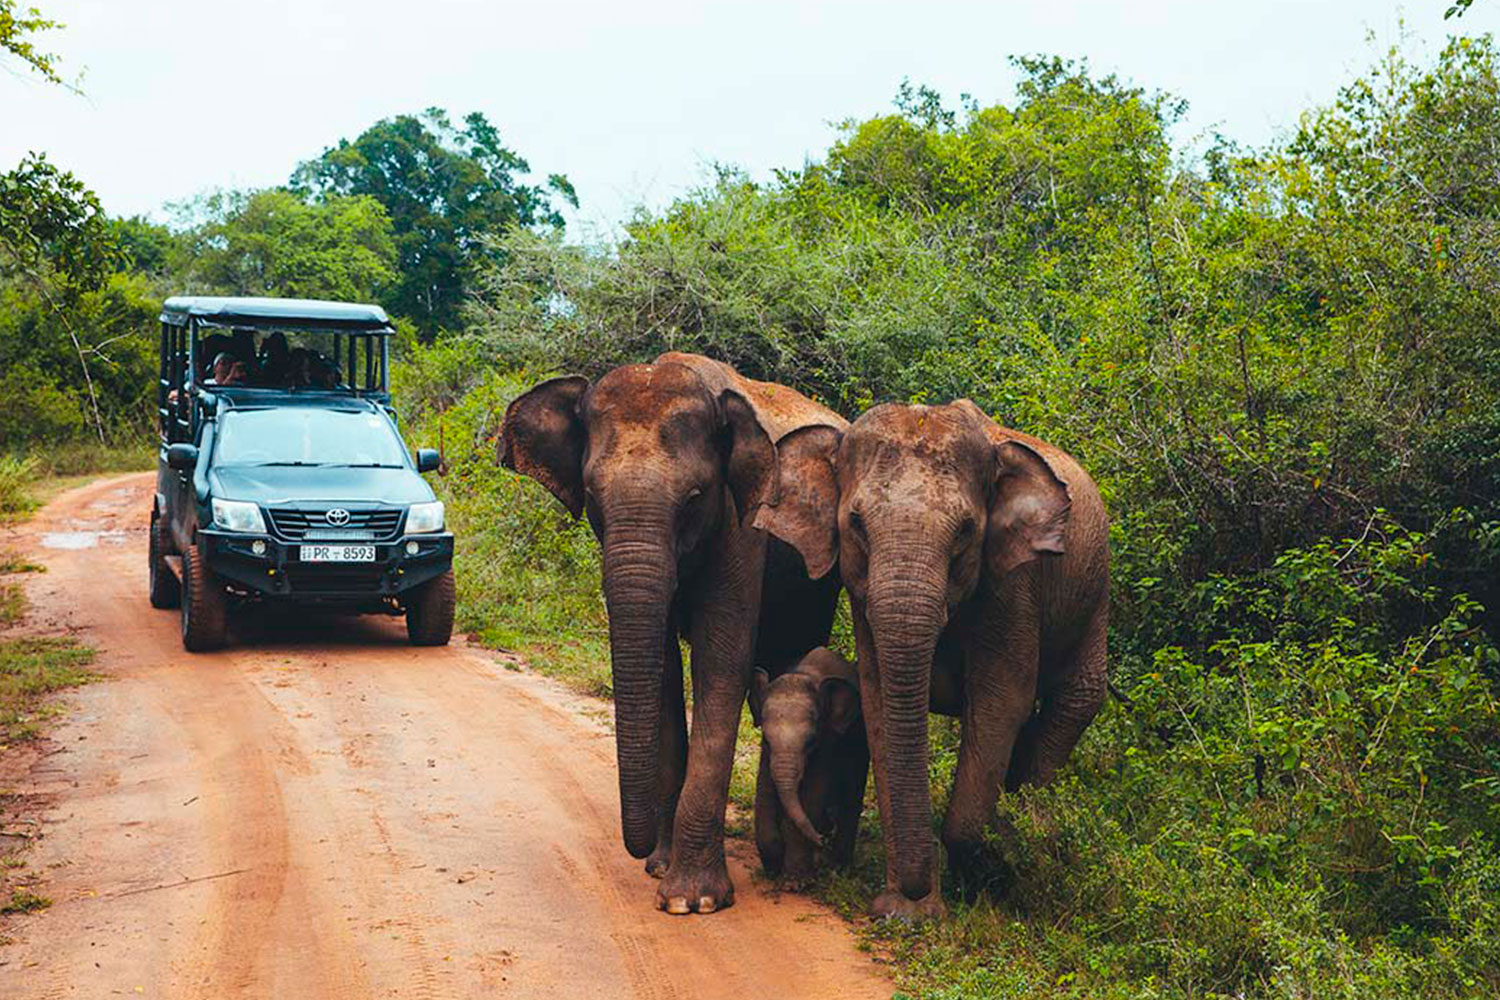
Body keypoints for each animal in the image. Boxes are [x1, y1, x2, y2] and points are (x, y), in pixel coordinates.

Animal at [495, 352, 840, 917]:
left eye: (695, 497)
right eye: (593, 496)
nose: (637, 852)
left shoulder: (741, 526)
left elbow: (720, 663)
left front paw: (691, 900)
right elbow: (660, 668)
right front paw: (660, 866)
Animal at [750, 650, 870, 875]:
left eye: (811, 741)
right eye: (767, 740)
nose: (821, 840)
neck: (804, 674)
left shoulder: (828, 738)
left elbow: (813, 793)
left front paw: (796, 878)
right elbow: (764, 790)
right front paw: (773, 868)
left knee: (852, 790)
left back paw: (839, 866)